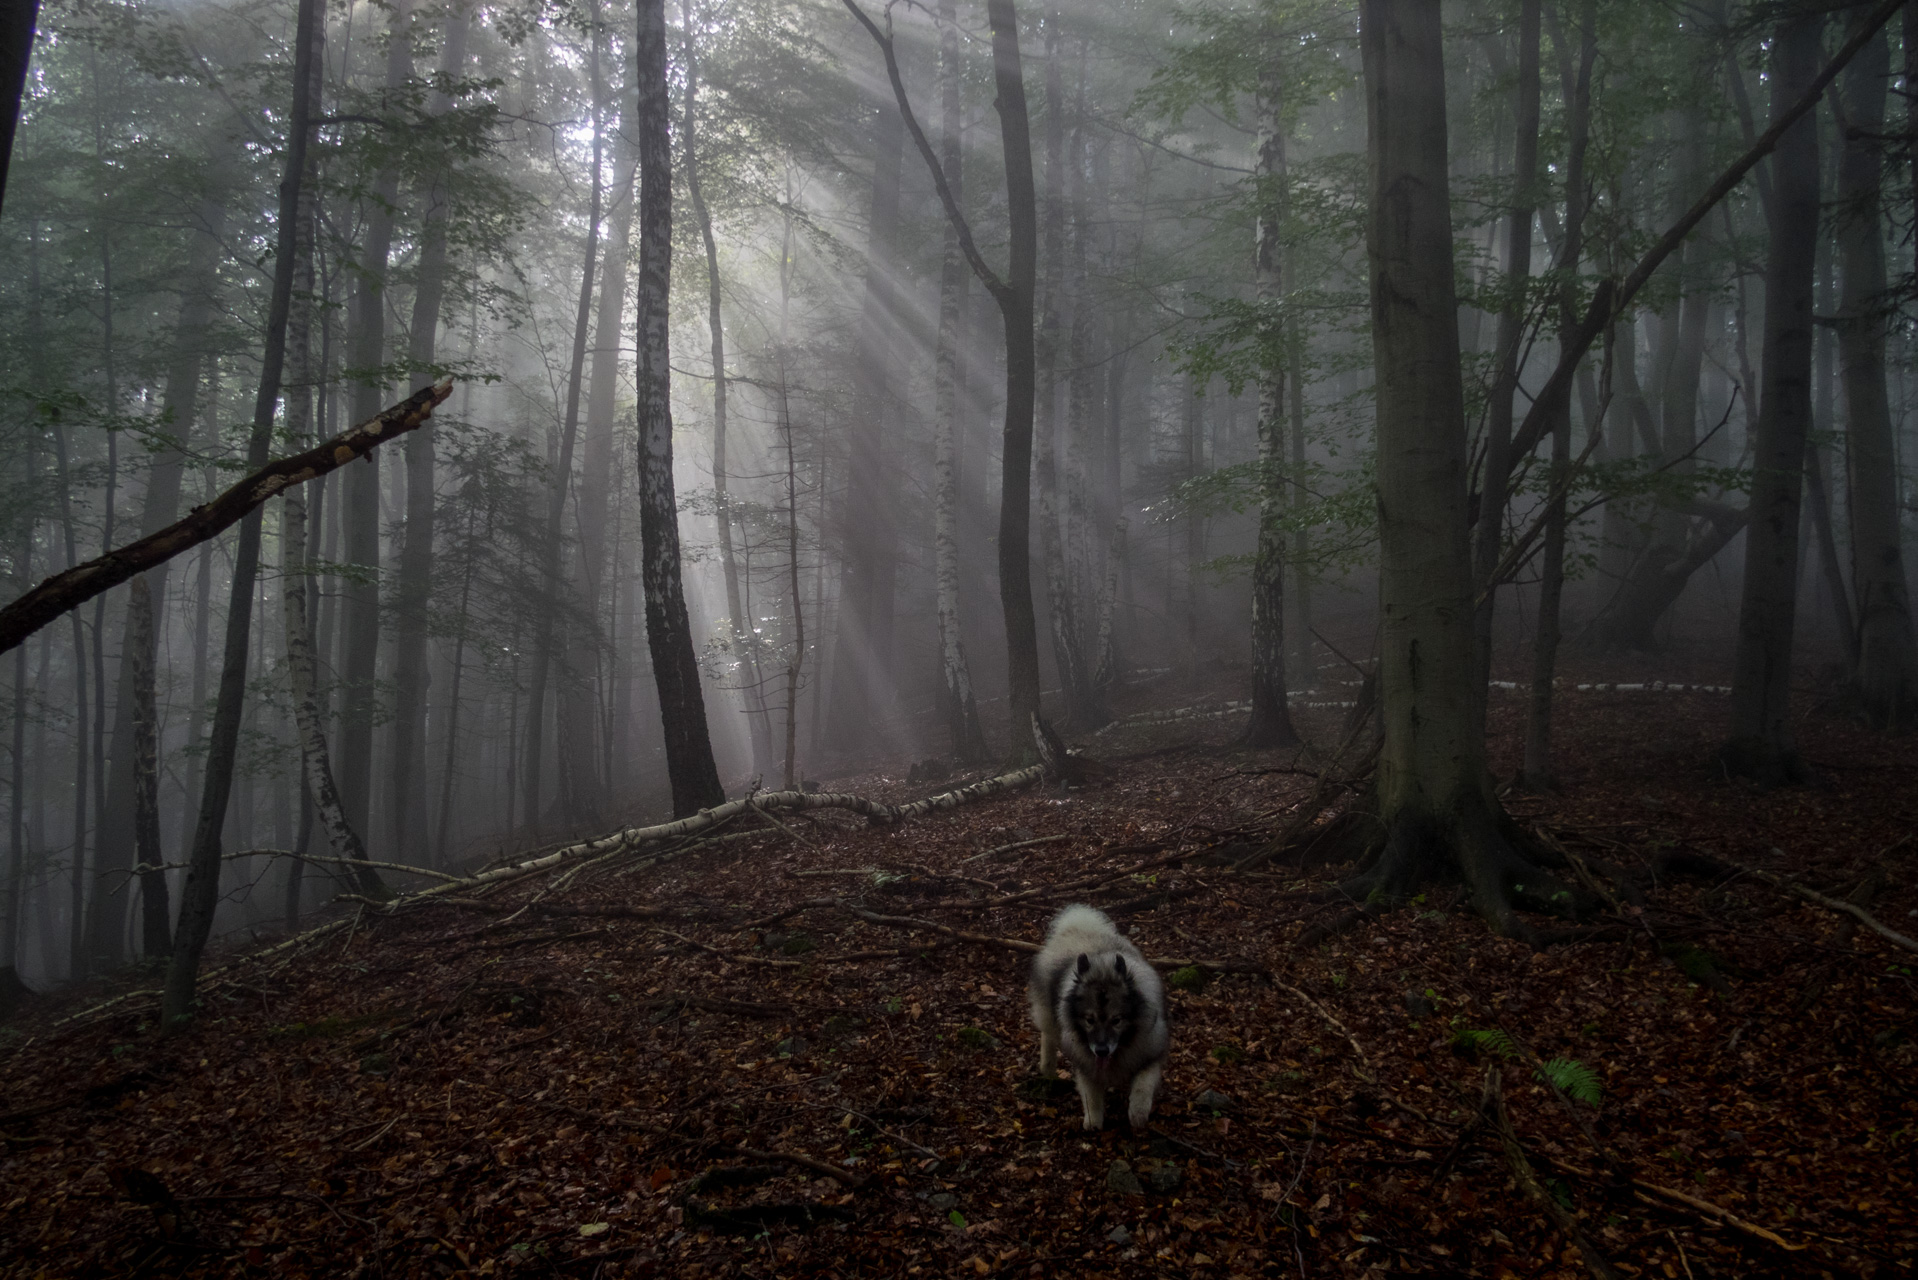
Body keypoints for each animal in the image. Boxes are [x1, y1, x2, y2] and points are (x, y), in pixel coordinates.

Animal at [1035, 901, 1166, 1128]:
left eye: (1117, 1020)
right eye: (1089, 1020)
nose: (1102, 1050)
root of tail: (1076, 927)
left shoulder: (1149, 1053)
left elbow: (1143, 1085)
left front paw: (1138, 1114)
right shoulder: (1086, 1064)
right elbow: (1091, 1095)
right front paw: (1093, 1122)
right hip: (1049, 1015)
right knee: (1048, 1036)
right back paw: (1048, 1067)